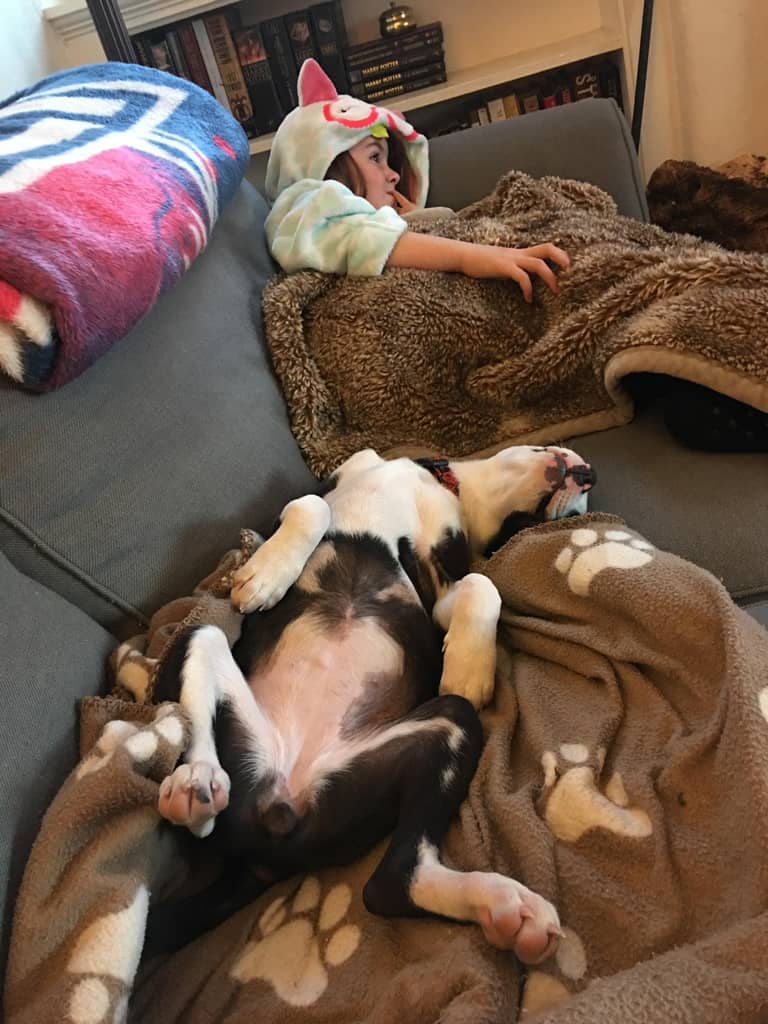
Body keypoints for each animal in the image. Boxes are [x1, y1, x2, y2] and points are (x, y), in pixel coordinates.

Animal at [153, 445, 596, 964]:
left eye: (573, 516)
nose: (588, 473)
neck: (444, 485)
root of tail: (281, 807)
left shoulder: (439, 588)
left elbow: (481, 586)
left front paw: (469, 667)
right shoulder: (325, 489)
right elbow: (310, 506)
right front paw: (264, 575)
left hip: (447, 727)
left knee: (392, 882)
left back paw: (507, 908)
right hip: (201, 643)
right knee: (203, 662)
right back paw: (196, 781)